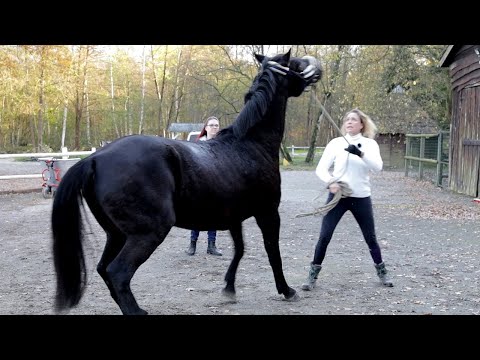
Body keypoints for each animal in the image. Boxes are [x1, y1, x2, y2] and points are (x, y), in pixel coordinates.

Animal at [51, 49, 322, 314]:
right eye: (295, 64)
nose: (316, 69)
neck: (249, 144)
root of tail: (95, 158)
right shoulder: (268, 213)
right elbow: (272, 250)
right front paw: (286, 290)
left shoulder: (233, 218)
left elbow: (240, 249)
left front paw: (229, 289)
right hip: (148, 232)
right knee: (118, 273)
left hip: (116, 234)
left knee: (103, 269)